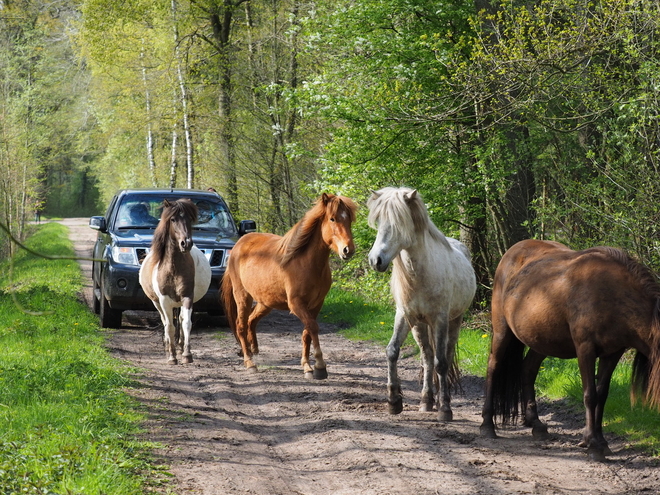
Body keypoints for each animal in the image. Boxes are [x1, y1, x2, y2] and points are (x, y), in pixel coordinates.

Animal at [138, 200, 210, 366]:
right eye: (173, 219)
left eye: (189, 219)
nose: (186, 243)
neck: (174, 268)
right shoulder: (164, 301)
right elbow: (169, 327)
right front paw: (172, 357)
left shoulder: (187, 297)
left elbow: (186, 323)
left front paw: (187, 354)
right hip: (157, 303)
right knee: (165, 322)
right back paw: (168, 348)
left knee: (182, 319)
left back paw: (181, 346)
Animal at [220, 194, 356, 380]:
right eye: (332, 218)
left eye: (349, 219)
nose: (348, 250)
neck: (305, 262)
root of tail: (238, 245)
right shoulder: (296, 304)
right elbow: (313, 327)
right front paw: (320, 367)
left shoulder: (316, 305)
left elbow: (307, 333)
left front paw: (307, 366)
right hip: (243, 297)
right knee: (240, 325)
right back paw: (250, 362)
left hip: (265, 302)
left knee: (251, 320)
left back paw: (251, 349)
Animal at [368, 188, 476, 420]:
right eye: (379, 221)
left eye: (399, 222)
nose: (375, 260)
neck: (420, 274)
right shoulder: (405, 315)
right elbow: (392, 351)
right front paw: (394, 401)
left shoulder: (440, 319)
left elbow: (441, 363)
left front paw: (445, 408)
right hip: (419, 324)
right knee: (427, 356)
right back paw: (426, 401)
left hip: (454, 320)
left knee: (445, 355)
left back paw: (441, 400)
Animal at [480, 240, 660, 462]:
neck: (612, 292)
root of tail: (512, 251)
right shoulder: (585, 349)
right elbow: (590, 395)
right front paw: (593, 445)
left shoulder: (612, 353)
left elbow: (602, 395)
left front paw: (601, 441)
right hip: (501, 331)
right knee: (493, 368)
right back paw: (487, 425)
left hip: (542, 340)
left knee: (527, 370)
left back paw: (536, 425)